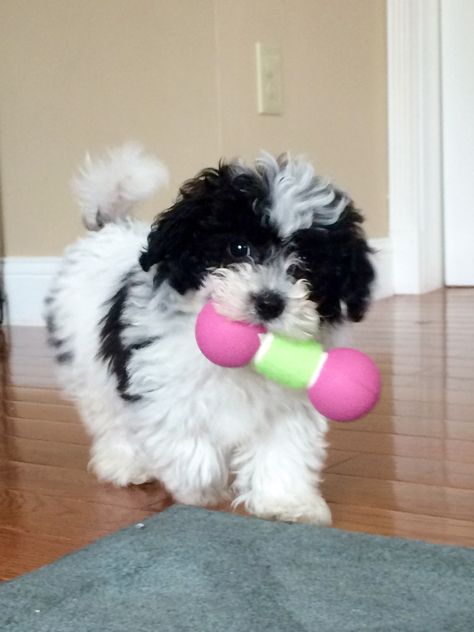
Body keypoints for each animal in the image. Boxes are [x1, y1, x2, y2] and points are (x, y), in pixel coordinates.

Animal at [45, 146, 374, 524]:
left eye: (305, 262)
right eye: (238, 248)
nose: (269, 302)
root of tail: (111, 226)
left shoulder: (287, 408)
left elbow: (283, 451)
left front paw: (287, 503)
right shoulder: (161, 382)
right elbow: (187, 445)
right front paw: (201, 489)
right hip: (88, 366)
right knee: (109, 415)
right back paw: (125, 463)